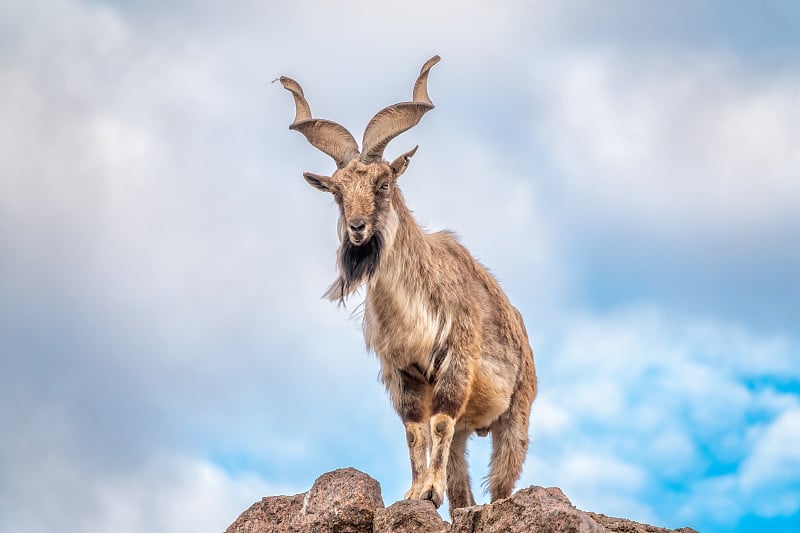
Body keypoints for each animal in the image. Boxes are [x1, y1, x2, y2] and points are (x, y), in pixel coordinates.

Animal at [282, 56, 536, 512]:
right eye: (337, 192)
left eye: (383, 182)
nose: (357, 228)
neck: (414, 309)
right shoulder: (402, 373)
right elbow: (416, 431)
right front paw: (418, 493)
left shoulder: (455, 362)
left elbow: (438, 424)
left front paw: (429, 492)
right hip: (470, 429)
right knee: (461, 478)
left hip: (515, 413)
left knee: (502, 478)